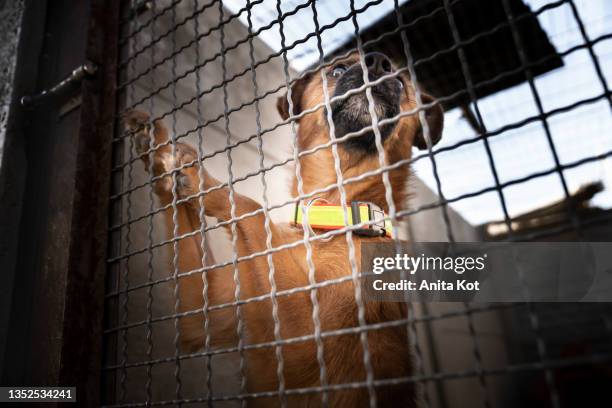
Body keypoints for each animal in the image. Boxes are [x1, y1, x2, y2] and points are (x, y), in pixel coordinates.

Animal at [124, 51, 442, 408]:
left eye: (400, 83)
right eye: (338, 69)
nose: (377, 62)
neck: (326, 218)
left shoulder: (305, 346)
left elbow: (253, 211)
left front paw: (199, 178)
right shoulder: (201, 318)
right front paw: (158, 149)